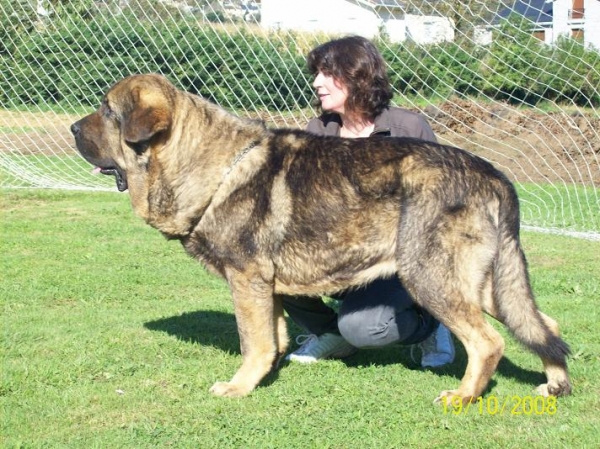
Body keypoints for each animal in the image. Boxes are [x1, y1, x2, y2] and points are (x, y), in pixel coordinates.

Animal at [71, 73, 572, 402]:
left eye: (108, 111)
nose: (73, 128)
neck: (211, 165)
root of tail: (493, 174)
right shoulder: (266, 287)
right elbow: (271, 341)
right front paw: (264, 377)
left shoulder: (246, 280)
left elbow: (253, 343)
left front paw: (238, 387)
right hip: (483, 283)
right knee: (545, 325)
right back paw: (555, 382)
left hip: (429, 276)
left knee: (489, 343)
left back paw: (463, 396)